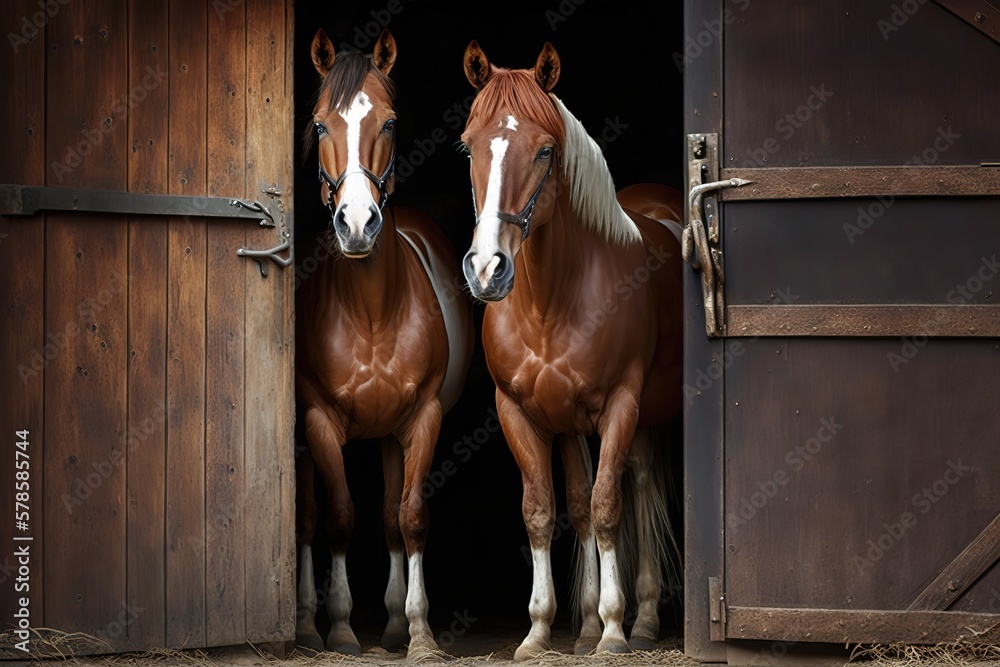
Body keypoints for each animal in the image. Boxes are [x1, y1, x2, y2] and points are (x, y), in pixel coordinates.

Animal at [295, 28, 473, 658]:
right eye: (321, 124)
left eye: (389, 122)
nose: (356, 224)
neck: (372, 313)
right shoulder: (319, 421)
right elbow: (339, 517)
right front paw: (342, 627)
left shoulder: (422, 419)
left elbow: (410, 516)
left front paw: (418, 631)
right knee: (307, 516)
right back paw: (305, 623)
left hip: (393, 437)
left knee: (394, 515)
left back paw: (394, 623)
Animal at [458, 41, 683, 659]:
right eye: (469, 144)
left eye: (545, 151)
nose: (487, 269)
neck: (550, 304)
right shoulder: (523, 413)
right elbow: (548, 510)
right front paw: (542, 630)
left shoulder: (621, 406)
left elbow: (606, 508)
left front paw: (612, 629)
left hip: (645, 416)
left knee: (639, 486)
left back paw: (643, 619)